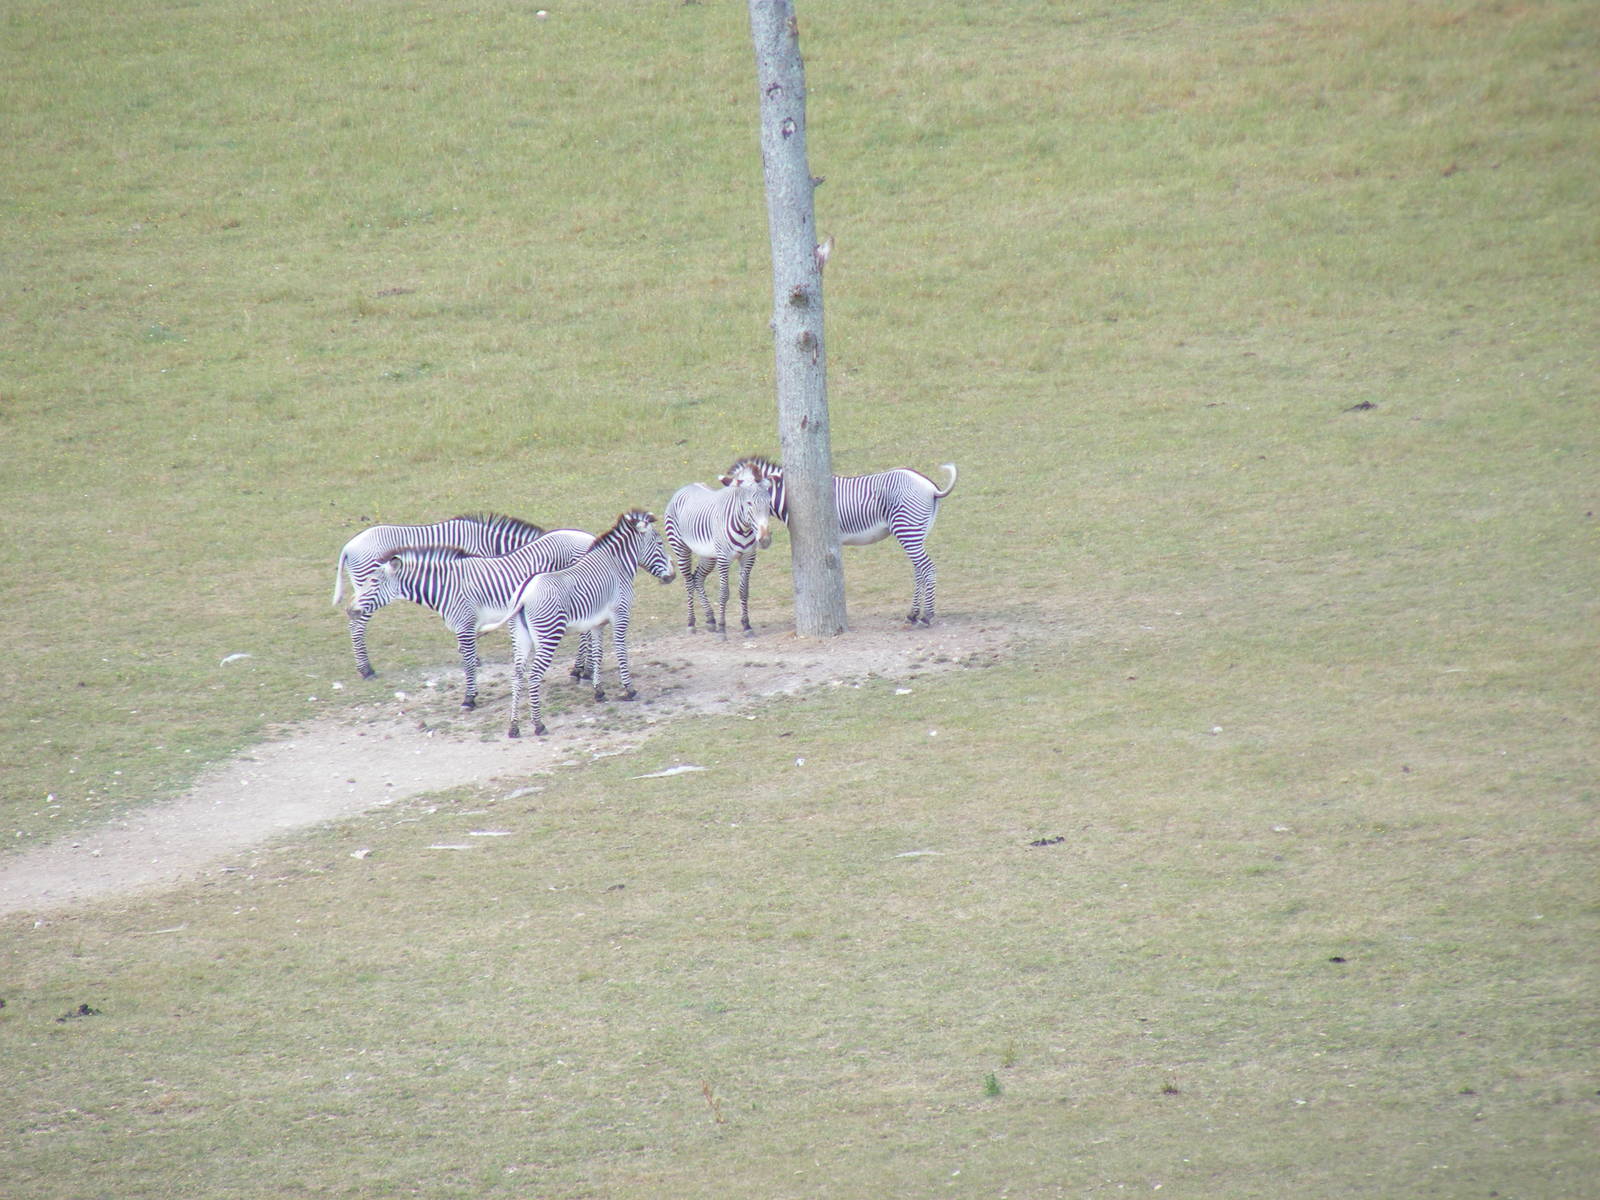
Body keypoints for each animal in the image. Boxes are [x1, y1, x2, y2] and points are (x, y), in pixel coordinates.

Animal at [353, 528, 597, 709]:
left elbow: (468, 663)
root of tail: (588, 537)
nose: (350, 610)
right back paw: (581, 670)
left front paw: (469, 699)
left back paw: (583, 671)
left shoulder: (465, 625)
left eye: (373, 582)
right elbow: (467, 660)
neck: (446, 586)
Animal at [481, 510, 674, 738]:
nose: (672, 576)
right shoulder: (621, 614)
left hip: (520, 637)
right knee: (534, 676)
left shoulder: (597, 623)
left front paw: (599, 691)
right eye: (660, 543)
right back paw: (538, 724)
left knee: (517, 675)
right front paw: (629, 689)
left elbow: (598, 654)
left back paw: (514, 727)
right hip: (549, 634)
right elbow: (620, 650)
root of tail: (524, 594)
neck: (617, 564)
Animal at [662, 477, 774, 637]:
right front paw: (722, 628)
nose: (764, 539)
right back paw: (691, 623)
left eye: (769, 503)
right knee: (688, 582)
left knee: (697, 578)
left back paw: (710, 619)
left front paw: (746, 625)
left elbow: (744, 592)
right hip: (681, 548)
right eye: (749, 503)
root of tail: (687, 486)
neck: (744, 528)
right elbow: (723, 593)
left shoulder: (748, 558)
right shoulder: (723, 559)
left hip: (708, 556)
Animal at [722, 456, 958, 625]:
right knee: (919, 570)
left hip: (907, 528)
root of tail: (930, 487)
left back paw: (927, 616)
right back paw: (913, 614)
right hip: (917, 531)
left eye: (745, 502)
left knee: (927, 568)